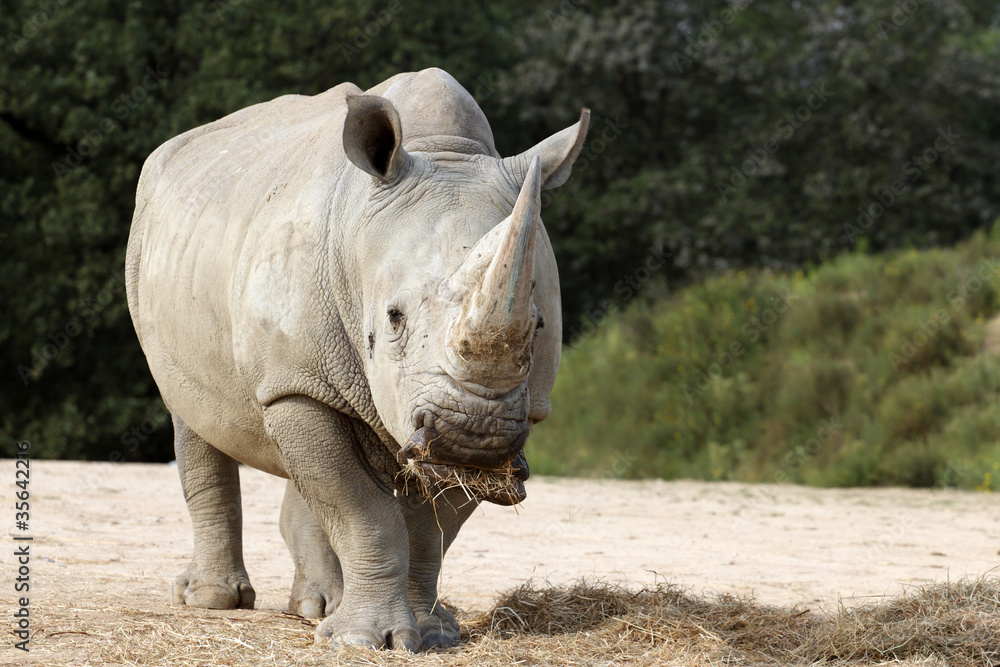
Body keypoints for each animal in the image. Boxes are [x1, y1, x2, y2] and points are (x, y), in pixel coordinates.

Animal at [125, 68, 589, 651]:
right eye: (393, 318)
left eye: (539, 325)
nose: (473, 433)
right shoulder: (296, 383)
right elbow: (359, 507)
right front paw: (365, 641)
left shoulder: (496, 425)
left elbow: (430, 525)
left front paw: (433, 633)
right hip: (156, 257)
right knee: (194, 412)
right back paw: (213, 600)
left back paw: (316, 607)